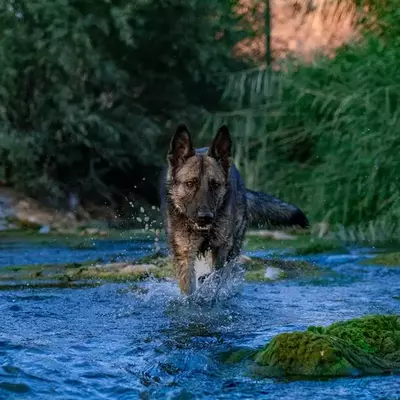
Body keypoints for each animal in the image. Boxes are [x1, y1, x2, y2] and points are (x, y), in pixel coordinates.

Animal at [160, 123, 310, 296]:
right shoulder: (185, 255)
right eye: (190, 184)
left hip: (234, 246)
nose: (205, 217)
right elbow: (189, 289)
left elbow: (216, 276)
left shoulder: (221, 248)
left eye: (215, 184)